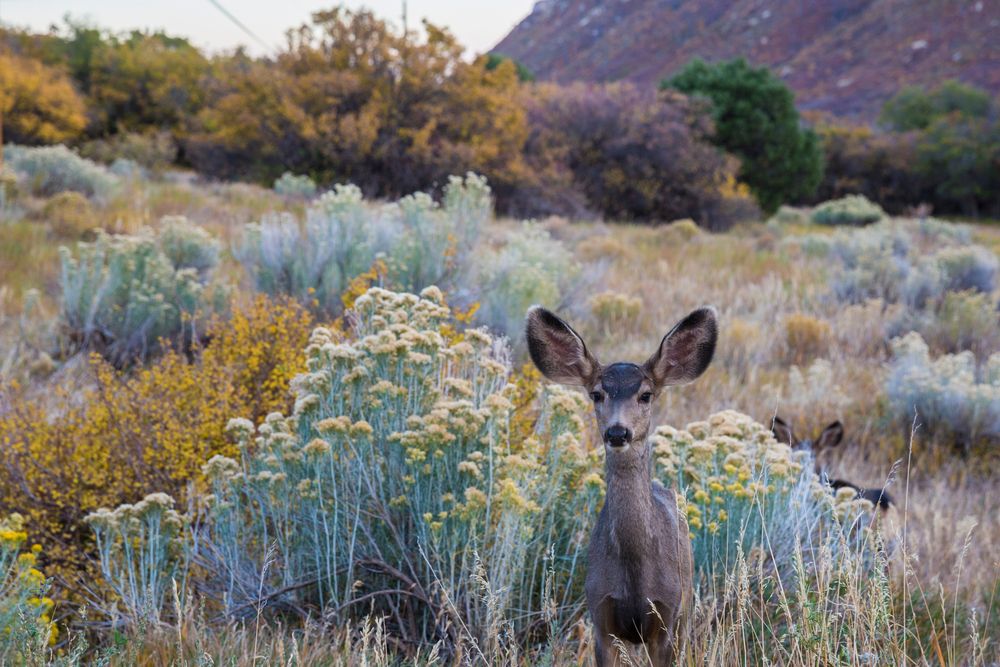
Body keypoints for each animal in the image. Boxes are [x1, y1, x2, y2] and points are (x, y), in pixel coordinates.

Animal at [525, 304, 718, 666]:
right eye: (596, 393)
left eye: (646, 395)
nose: (617, 432)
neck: (634, 569)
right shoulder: (601, 617)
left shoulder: (666, 618)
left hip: (686, 608)